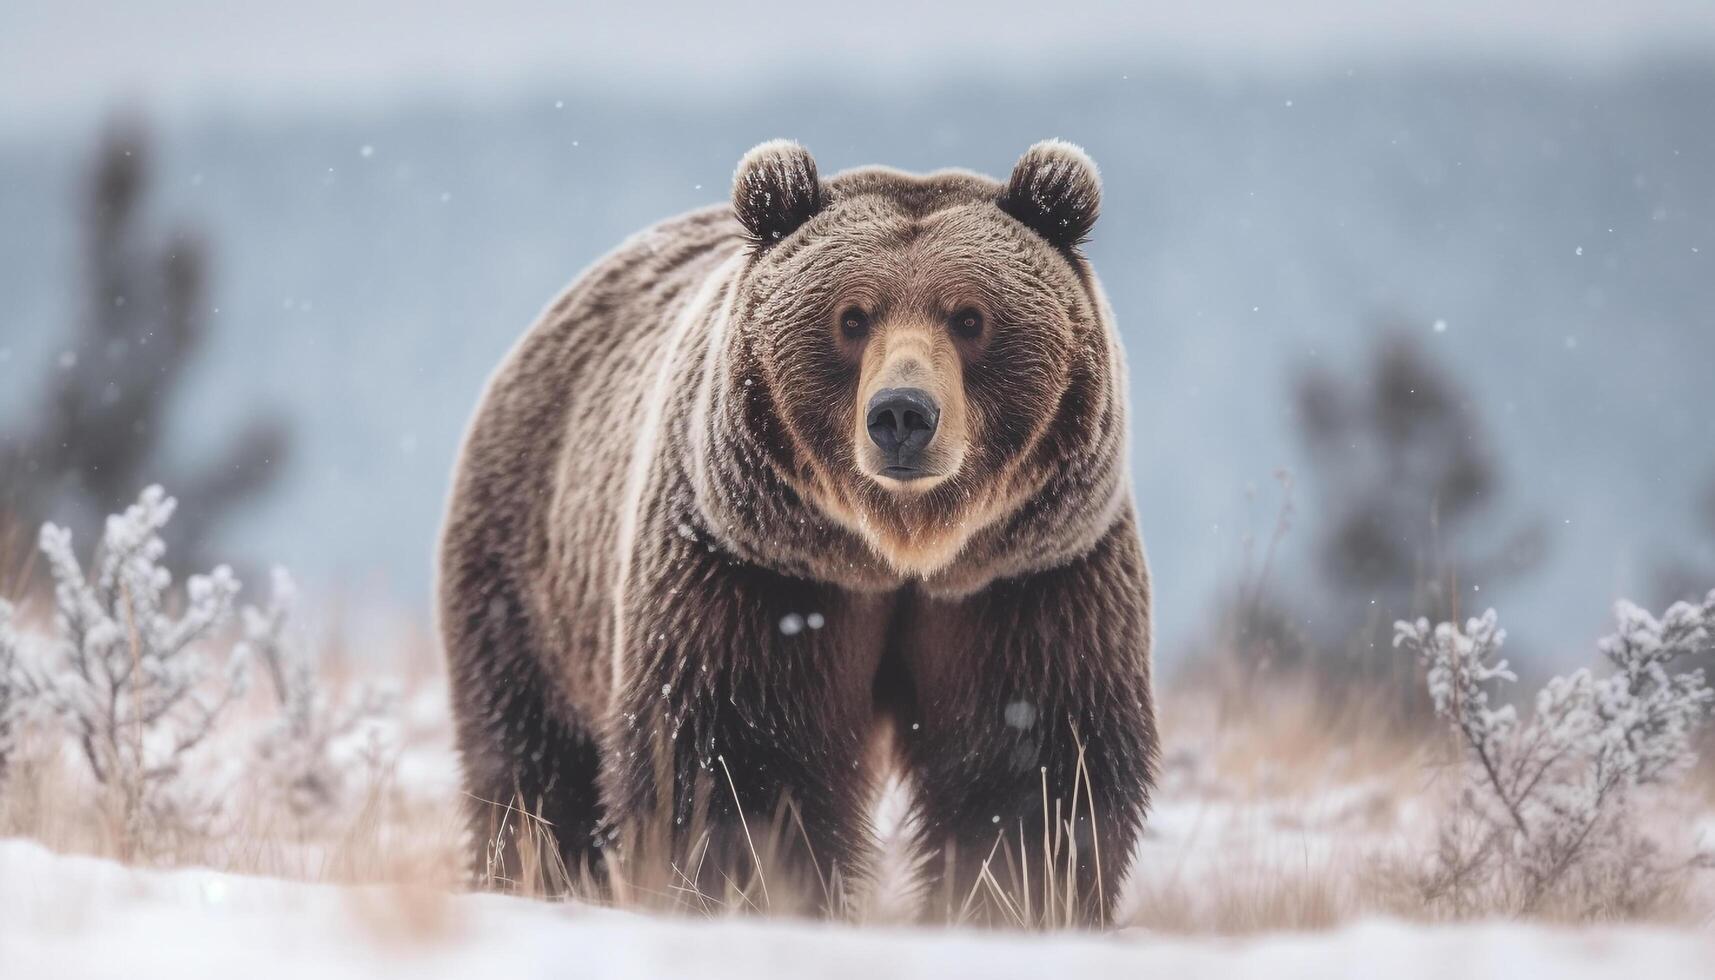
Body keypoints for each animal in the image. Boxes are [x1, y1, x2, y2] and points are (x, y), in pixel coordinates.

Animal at [442, 139, 1159, 926]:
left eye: (970, 318)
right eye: (852, 318)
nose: (902, 414)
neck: (898, 553)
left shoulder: (1024, 577)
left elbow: (1030, 758)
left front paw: (1016, 900)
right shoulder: (756, 570)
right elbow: (740, 758)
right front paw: (756, 888)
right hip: (531, 570)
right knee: (533, 760)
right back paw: (534, 874)